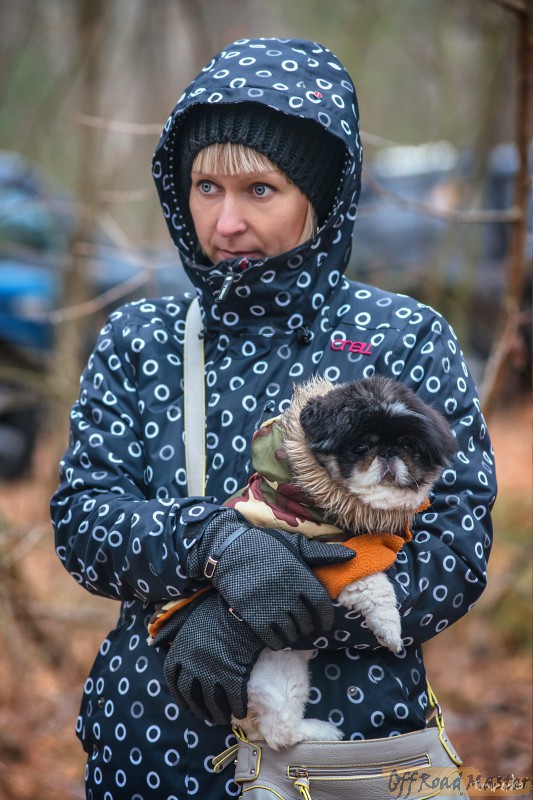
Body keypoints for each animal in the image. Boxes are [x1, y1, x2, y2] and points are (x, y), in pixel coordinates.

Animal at [230, 374, 457, 749]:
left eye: (408, 446)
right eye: (362, 446)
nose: (388, 452)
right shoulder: (330, 554)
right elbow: (373, 583)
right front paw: (390, 630)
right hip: (275, 672)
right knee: (279, 732)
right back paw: (322, 733)